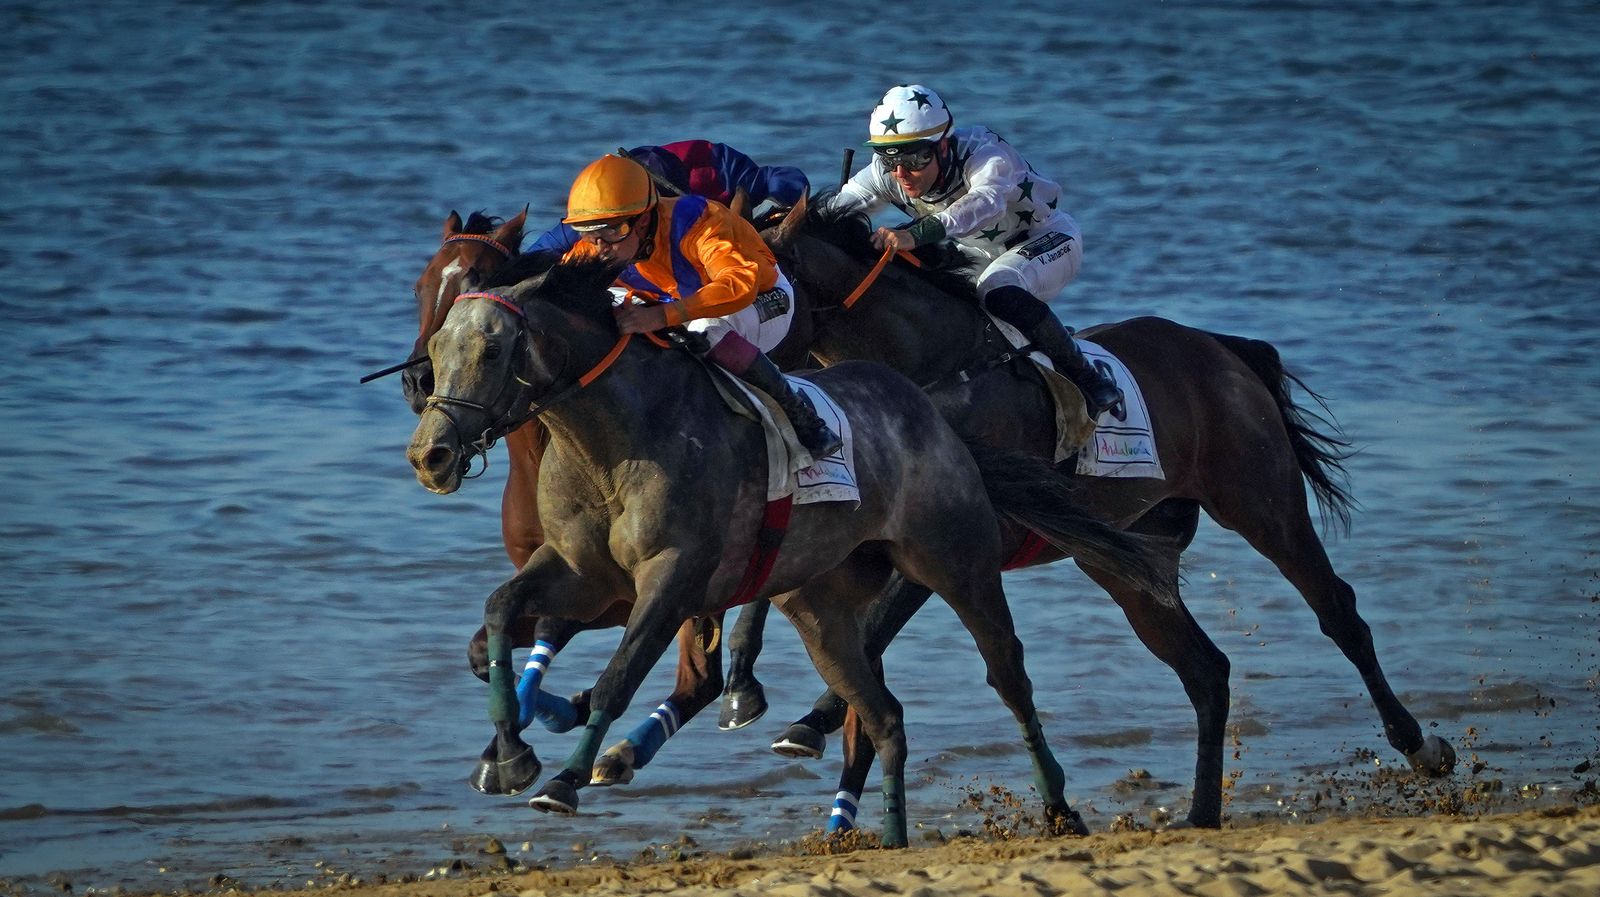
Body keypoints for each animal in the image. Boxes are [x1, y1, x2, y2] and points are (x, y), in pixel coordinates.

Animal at [403, 254, 1173, 846]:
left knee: (1008, 676)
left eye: (492, 350)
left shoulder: (672, 579)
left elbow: (620, 676)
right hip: (822, 612)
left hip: (957, 566)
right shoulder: (582, 573)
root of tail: (934, 414)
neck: (613, 441)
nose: (430, 455)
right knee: (883, 713)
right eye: (439, 350)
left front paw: (563, 778)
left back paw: (1059, 808)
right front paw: (510, 753)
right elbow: (499, 612)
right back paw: (885, 834)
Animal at [714, 195, 1457, 831]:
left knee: (1338, 612)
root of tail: (1222, 348)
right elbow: (792, 606)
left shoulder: (958, 545)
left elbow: (869, 638)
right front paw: (752, 689)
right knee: (1205, 670)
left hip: (1262, 502)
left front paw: (812, 722)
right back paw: (1200, 811)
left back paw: (1420, 746)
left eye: (756, 296)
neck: (933, 373)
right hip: (1131, 560)